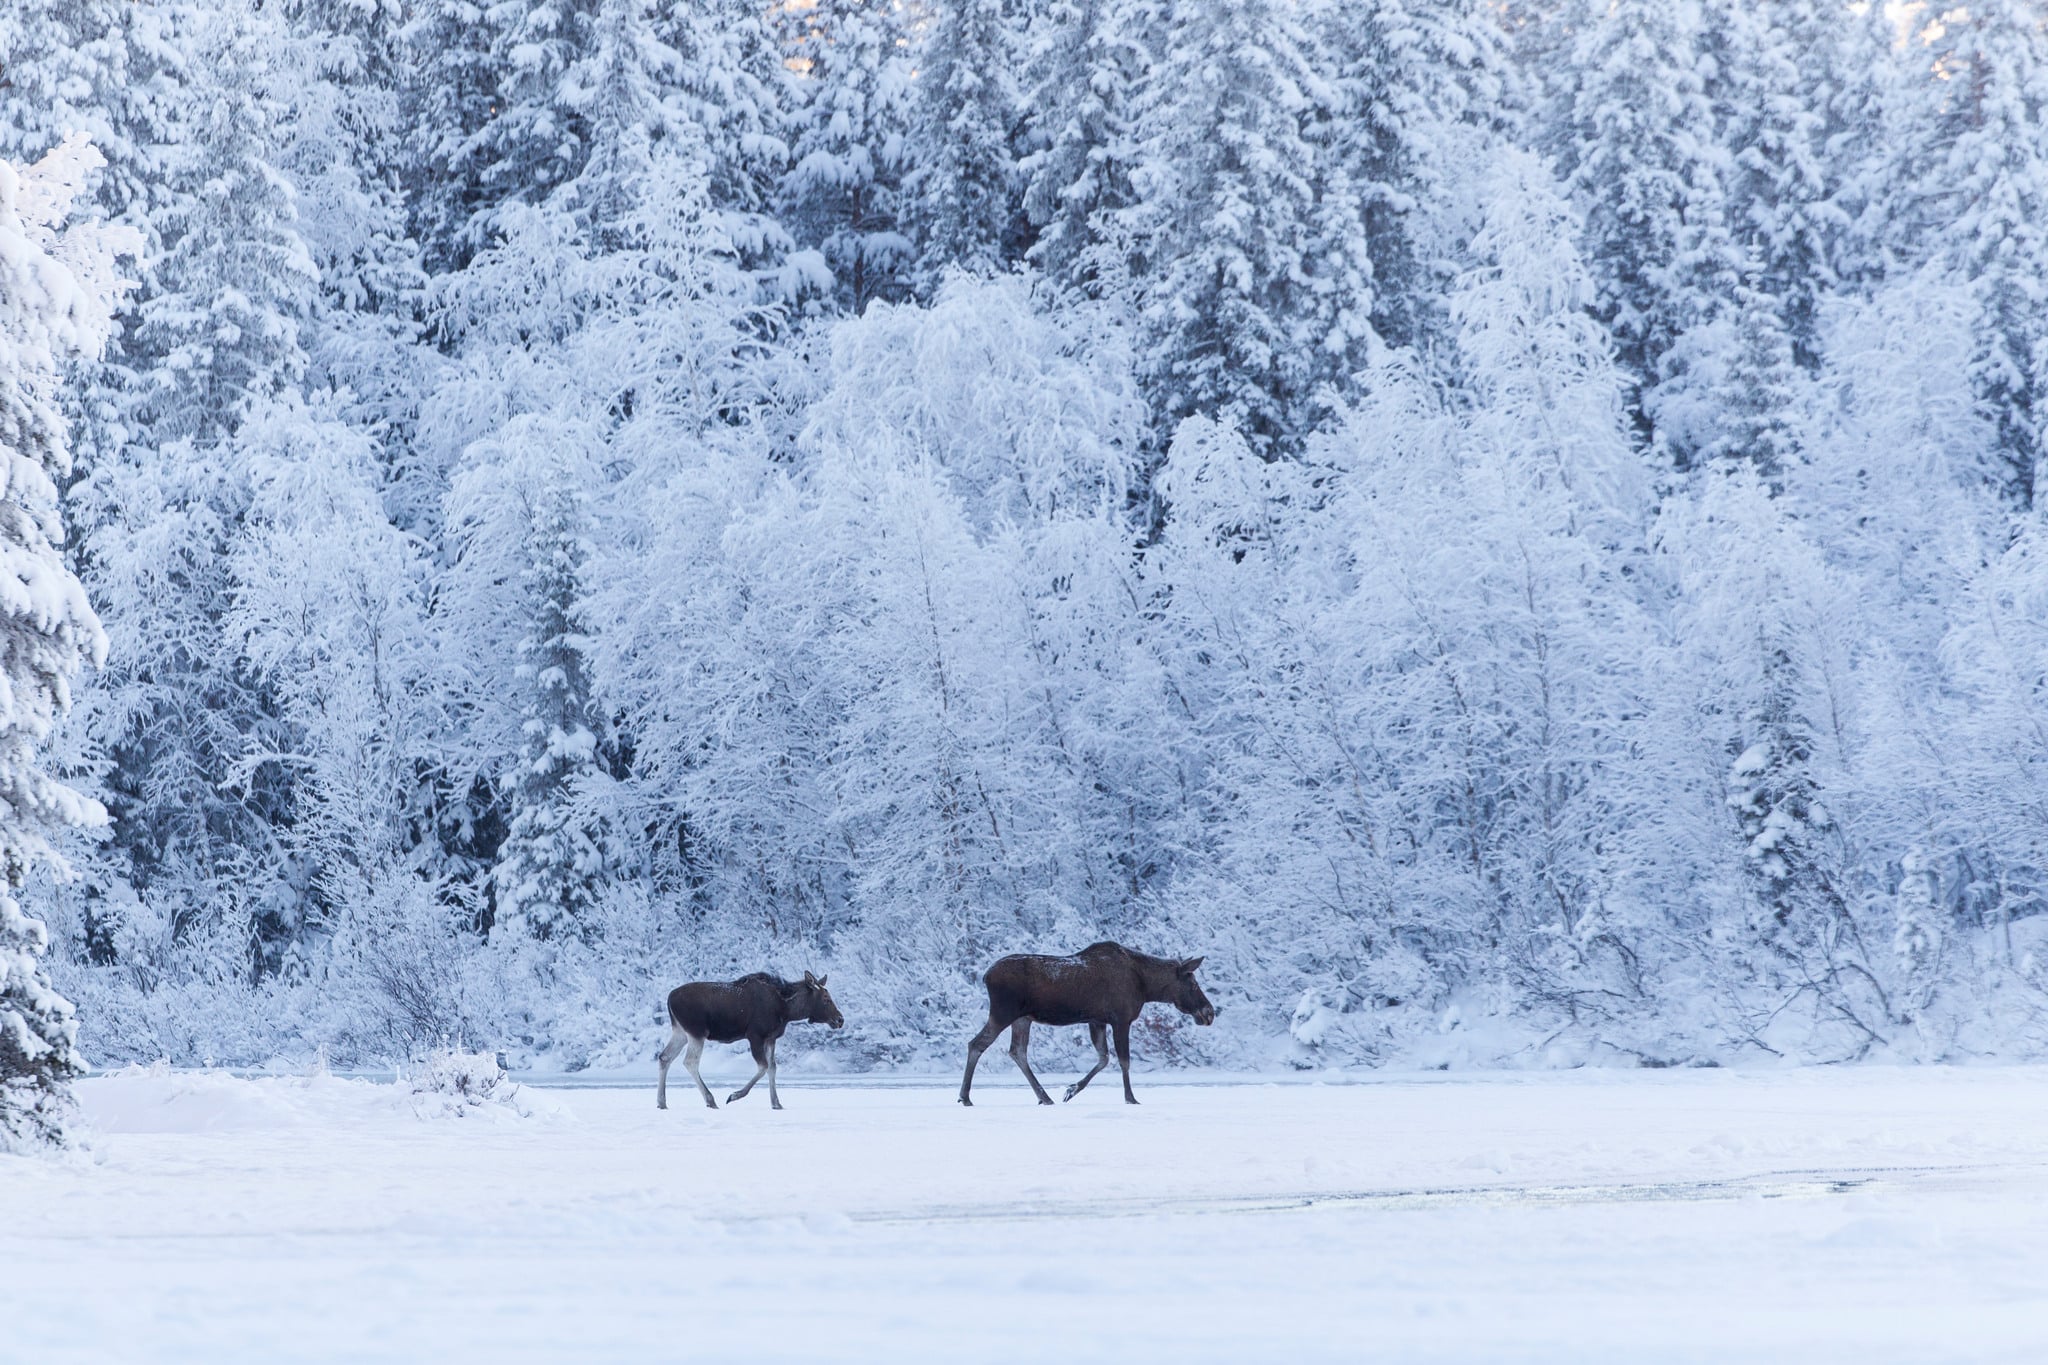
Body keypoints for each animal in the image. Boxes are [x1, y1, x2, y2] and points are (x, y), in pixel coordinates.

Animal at [659, 970, 843, 1113]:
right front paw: (734, 1095)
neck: (786, 1009)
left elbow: (772, 1068)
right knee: (690, 1061)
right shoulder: (755, 1035)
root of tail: (668, 999)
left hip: (680, 1032)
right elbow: (763, 1067)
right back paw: (710, 1100)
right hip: (696, 1032)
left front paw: (776, 1103)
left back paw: (661, 1102)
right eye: (826, 998)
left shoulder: (770, 1038)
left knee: (664, 1057)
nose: (840, 1019)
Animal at [958, 941, 1212, 1113]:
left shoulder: (1096, 1020)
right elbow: (1124, 1061)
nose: (1209, 1012)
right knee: (977, 1043)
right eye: (1193, 983)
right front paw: (1130, 1098)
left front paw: (1071, 1090)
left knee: (1017, 1051)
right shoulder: (1121, 1019)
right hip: (1004, 1012)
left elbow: (1104, 1058)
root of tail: (985, 976)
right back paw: (965, 1096)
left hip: (1023, 1017)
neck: (1146, 986)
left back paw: (1044, 1096)